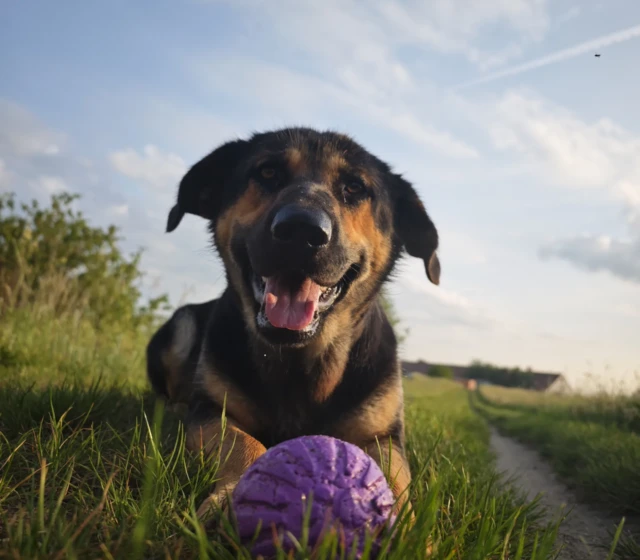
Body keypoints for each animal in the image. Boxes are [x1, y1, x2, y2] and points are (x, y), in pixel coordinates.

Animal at [146, 127, 441, 525]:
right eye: (268, 172)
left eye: (354, 187)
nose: (302, 230)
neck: (301, 362)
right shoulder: (212, 412)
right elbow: (244, 443)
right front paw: (233, 497)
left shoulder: (383, 435)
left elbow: (392, 474)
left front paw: (404, 525)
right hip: (183, 324)